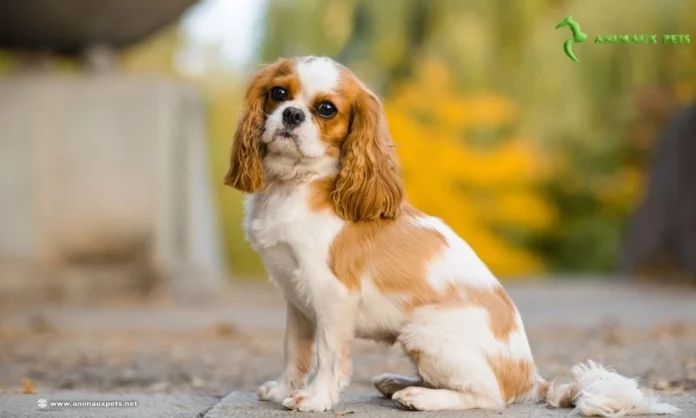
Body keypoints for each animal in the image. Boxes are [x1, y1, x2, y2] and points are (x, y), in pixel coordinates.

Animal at [224, 56, 680, 418]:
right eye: (279, 93)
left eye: (325, 109)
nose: (291, 115)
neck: (296, 185)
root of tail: (531, 380)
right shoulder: (298, 300)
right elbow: (295, 351)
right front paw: (283, 389)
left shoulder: (332, 296)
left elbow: (327, 355)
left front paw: (315, 398)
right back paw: (397, 382)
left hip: (423, 334)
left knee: (487, 396)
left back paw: (420, 397)